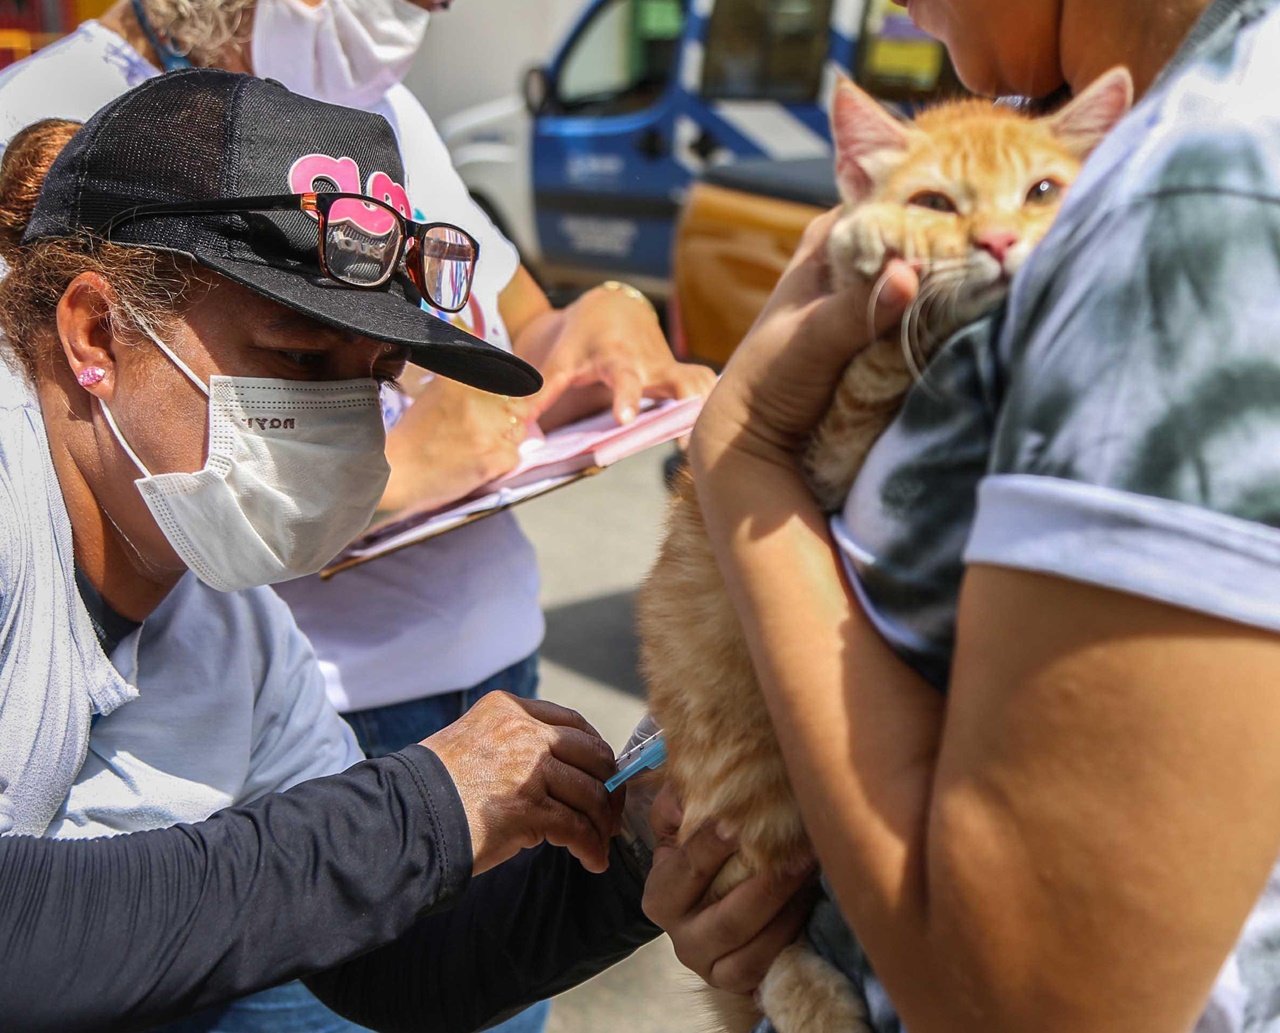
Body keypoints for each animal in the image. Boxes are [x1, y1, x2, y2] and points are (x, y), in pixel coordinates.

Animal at [637, 66, 1131, 1033]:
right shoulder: (825, 447)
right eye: (936, 201)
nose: (1001, 242)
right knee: (762, 936)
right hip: (757, 788)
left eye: (1042, 191)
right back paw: (817, 996)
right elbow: (875, 359)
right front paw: (876, 247)